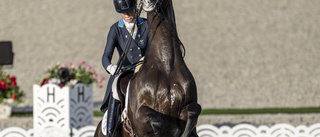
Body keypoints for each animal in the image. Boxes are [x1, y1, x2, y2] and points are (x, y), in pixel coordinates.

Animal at [94, 0, 201, 136]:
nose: (148, 2)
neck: (167, 66)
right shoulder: (139, 115)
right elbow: (157, 119)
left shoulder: (189, 104)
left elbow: (194, 110)